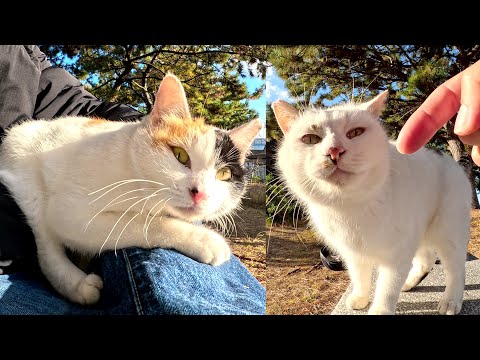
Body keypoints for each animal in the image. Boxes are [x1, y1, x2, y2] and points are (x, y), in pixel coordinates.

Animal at [0, 74, 262, 306]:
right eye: (180, 155)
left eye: (224, 174)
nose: (200, 193)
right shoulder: (70, 213)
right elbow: (141, 223)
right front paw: (204, 239)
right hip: (25, 171)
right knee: (45, 240)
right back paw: (77, 284)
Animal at [272, 90, 470, 316]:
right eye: (311, 139)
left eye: (355, 132)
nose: (334, 150)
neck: (350, 208)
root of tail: (453, 161)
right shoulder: (353, 253)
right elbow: (359, 277)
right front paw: (360, 298)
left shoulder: (397, 253)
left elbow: (387, 287)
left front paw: (380, 309)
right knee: (425, 259)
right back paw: (408, 284)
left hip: (448, 231)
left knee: (456, 268)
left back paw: (450, 301)